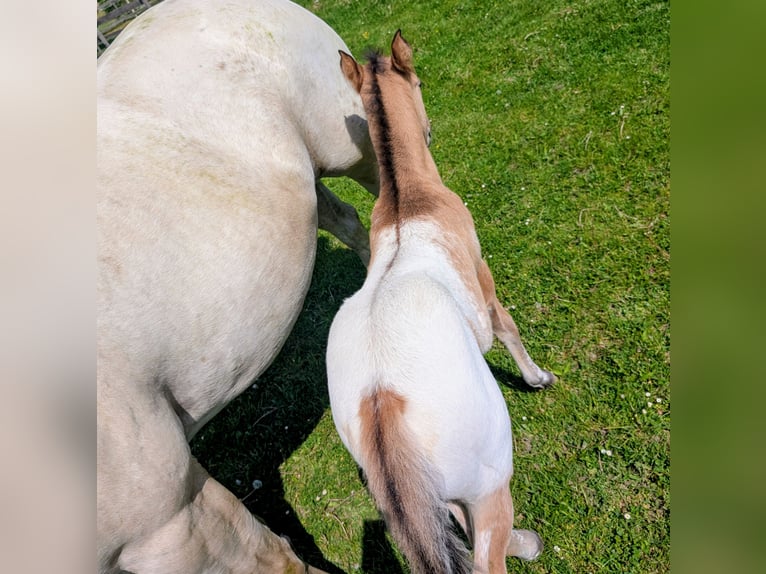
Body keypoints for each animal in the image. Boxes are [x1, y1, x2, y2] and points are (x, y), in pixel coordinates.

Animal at [326, 32, 554, 574]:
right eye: (422, 82)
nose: (430, 133)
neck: (408, 202)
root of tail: (382, 407)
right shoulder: (482, 277)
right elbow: (506, 326)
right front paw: (538, 378)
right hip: (489, 484)